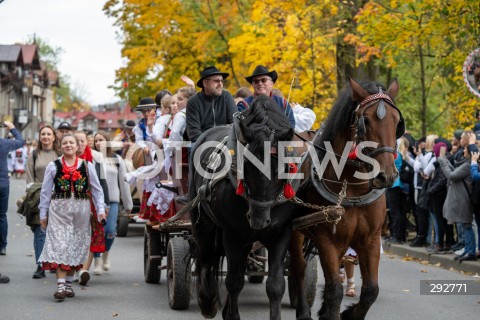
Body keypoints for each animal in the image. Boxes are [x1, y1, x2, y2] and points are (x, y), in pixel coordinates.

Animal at [188, 95, 308, 320]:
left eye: (281, 168)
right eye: (247, 166)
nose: (259, 219)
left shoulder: (281, 233)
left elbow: (275, 285)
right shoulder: (232, 234)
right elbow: (234, 281)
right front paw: (230, 314)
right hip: (201, 218)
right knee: (205, 254)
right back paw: (207, 301)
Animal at [288, 77, 404, 320]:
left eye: (397, 121)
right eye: (365, 121)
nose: (387, 175)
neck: (351, 189)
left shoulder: (371, 239)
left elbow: (371, 290)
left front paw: (350, 313)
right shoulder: (327, 239)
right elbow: (334, 290)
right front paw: (329, 311)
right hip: (295, 232)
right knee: (298, 269)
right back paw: (303, 311)